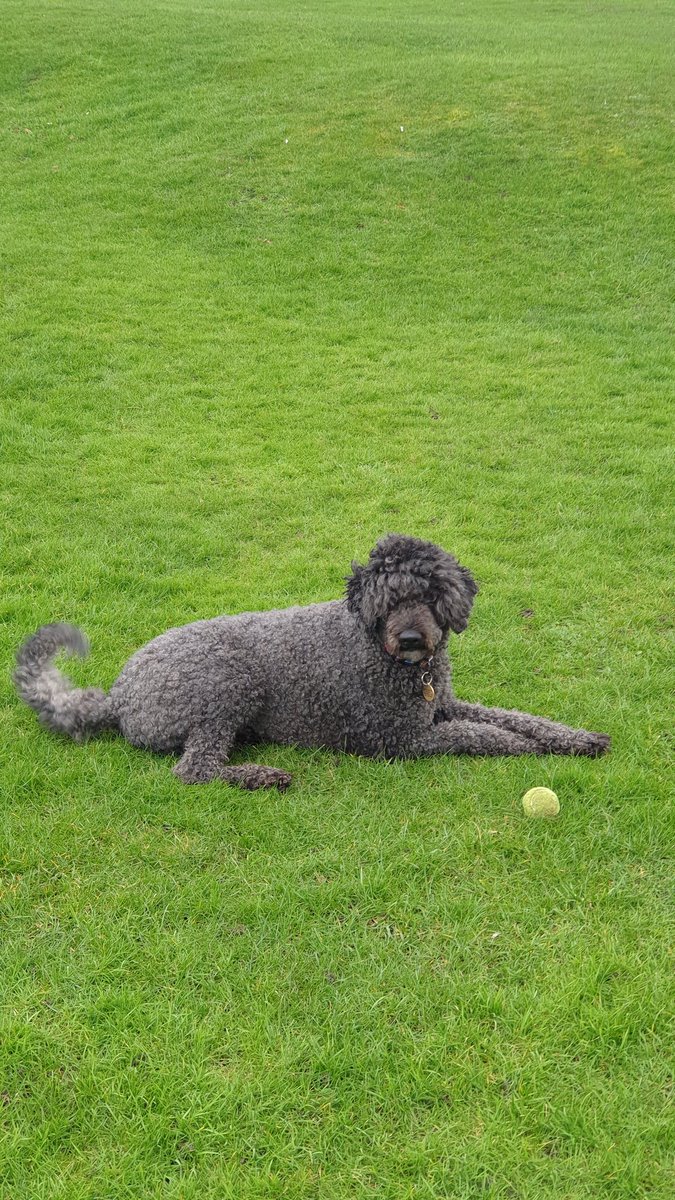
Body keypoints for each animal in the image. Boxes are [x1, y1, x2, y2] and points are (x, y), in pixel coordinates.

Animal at [14, 535, 610, 787]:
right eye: (388, 599)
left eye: (430, 594)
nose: (411, 638)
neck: (397, 665)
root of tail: (118, 696)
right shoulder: (401, 740)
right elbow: (483, 735)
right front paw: (525, 748)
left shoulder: (444, 705)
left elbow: (515, 717)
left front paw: (576, 737)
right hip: (228, 685)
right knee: (194, 768)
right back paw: (262, 776)